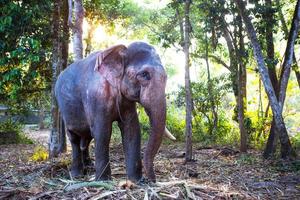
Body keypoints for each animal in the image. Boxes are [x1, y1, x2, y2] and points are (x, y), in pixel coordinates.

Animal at [55, 42, 175, 183]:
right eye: (145, 74)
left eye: (166, 77)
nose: (152, 180)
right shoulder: (96, 97)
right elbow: (103, 132)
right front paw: (103, 180)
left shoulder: (126, 102)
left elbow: (132, 129)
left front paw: (136, 181)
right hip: (64, 108)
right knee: (73, 137)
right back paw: (76, 175)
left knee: (87, 137)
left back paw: (89, 167)